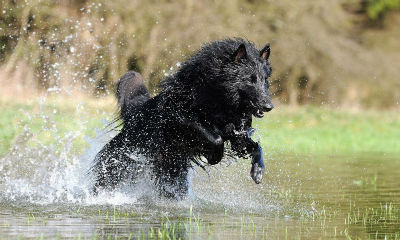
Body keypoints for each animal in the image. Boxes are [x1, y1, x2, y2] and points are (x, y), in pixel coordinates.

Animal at [90, 37, 272, 199]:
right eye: (250, 79)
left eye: (265, 80)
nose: (269, 106)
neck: (217, 96)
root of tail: (136, 114)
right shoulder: (182, 118)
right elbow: (216, 138)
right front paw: (215, 156)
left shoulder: (237, 136)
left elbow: (256, 147)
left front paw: (258, 170)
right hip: (119, 165)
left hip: (172, 173)